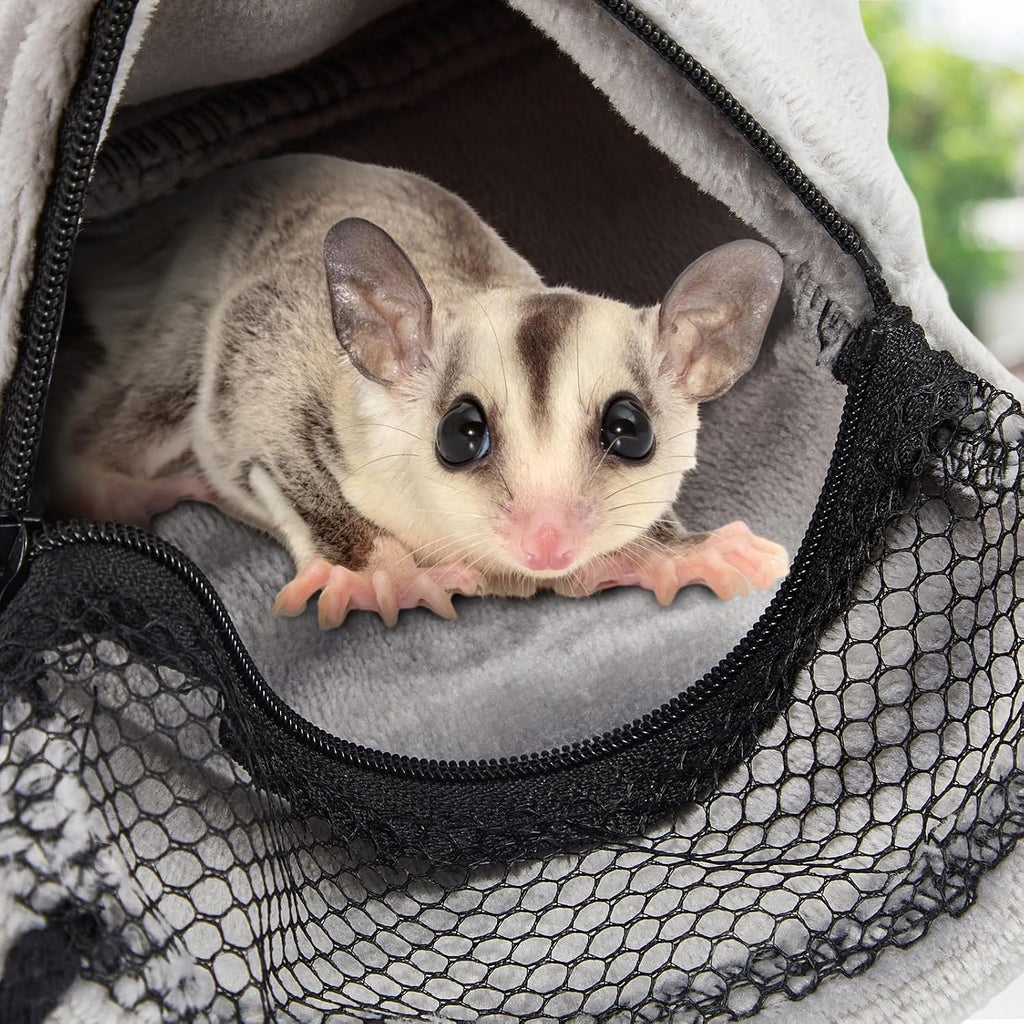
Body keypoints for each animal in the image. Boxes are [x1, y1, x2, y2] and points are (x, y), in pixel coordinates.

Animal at [48, 154, 788, 628]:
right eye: (462, 435)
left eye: (629, 432)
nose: (548, 543)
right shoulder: (273, 358)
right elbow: (250, 424)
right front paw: (375, 570)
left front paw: (675, 554)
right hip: (176, 313)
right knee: (168, 371)